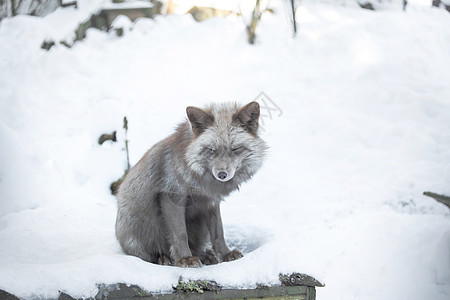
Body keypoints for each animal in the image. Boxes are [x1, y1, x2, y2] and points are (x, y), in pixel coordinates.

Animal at [116, 101, 268, 268]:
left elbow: (219, 232)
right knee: (150, 254)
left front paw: (226, 254)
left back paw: (205, 256)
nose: (222, 174)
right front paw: (185, 259)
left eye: (235, 149)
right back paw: (164, 258)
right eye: (211, 150)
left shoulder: (210, 201)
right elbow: (180, 233)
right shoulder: (172, 195)